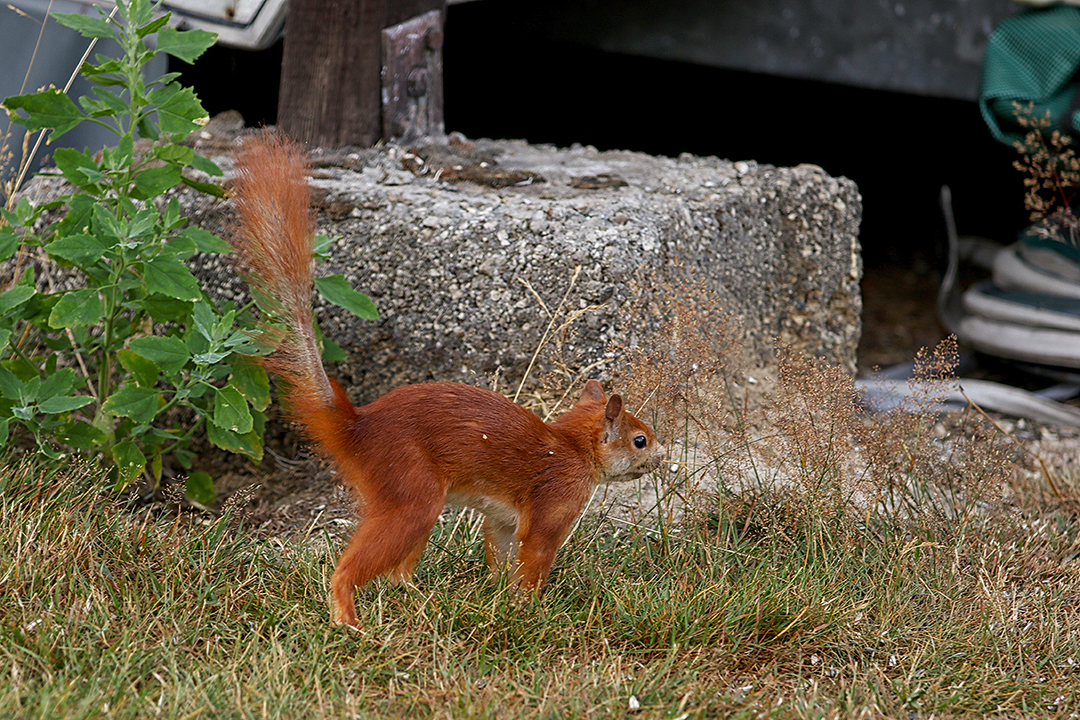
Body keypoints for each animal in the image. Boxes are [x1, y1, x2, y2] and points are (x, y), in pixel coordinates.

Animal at [232, 134, 660, 626]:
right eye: (640, 440)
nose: (662, 457)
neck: (572, 447)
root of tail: (356, 427)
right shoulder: (554, 502)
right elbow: (535, 555)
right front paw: (529, 607)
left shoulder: (502, 519)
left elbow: (500, 550)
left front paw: (498, 595)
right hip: (412, 494)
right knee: (355, 568)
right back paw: (350, 619)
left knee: (399, 573)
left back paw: (424, 601)